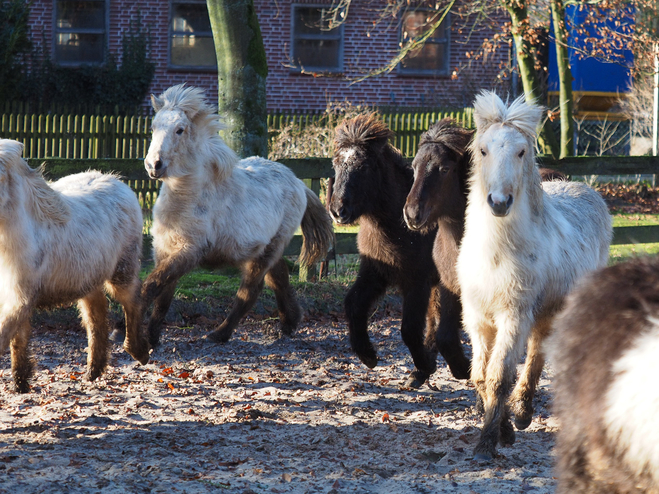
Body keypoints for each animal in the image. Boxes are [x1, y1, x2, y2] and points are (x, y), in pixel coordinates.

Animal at [0, 139, 150, 394]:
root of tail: (117, 181)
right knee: (96, 313)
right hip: (88, 277)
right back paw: (93, 370)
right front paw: (21, 383)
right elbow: (18, 339)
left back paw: (139, 351)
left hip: (122, 271)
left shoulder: (20, 296)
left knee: (132, 302)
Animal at [141, 85, 332, 348]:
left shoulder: (188, 252)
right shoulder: (164, 250)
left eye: (179, 129)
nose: (153, 166)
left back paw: (219, 334)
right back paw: (289, 323)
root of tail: (298, 183)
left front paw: (123, 331)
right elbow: (162, 297)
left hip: (269, 248)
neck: (188, 198)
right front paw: (150, 337)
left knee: (250, 291)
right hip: (263, 248)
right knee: (279, 277)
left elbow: (151, 286)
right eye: (153, 127)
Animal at [328, 114, 470, 388]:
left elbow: (409, 329)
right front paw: (368, 355)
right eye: (336, 163)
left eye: (365, 167)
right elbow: (353, 304)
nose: (338, 211)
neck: (396, 227)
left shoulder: (418, 282)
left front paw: (423, 364)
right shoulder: (376, 272)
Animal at [458, 91, 612, 460]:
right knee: (536, 353)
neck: (496, 253)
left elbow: (499, 377)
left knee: (538, 358)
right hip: (541, 315)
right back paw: (520, 415)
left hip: (550, 312)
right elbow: (481, 377)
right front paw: (503, 430)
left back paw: (525, 412)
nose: (499, 202)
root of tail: (586, 190)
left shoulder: (514, 316)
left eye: (521, 151)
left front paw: (488, 442)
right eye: (482, 150)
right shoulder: (477, 320)